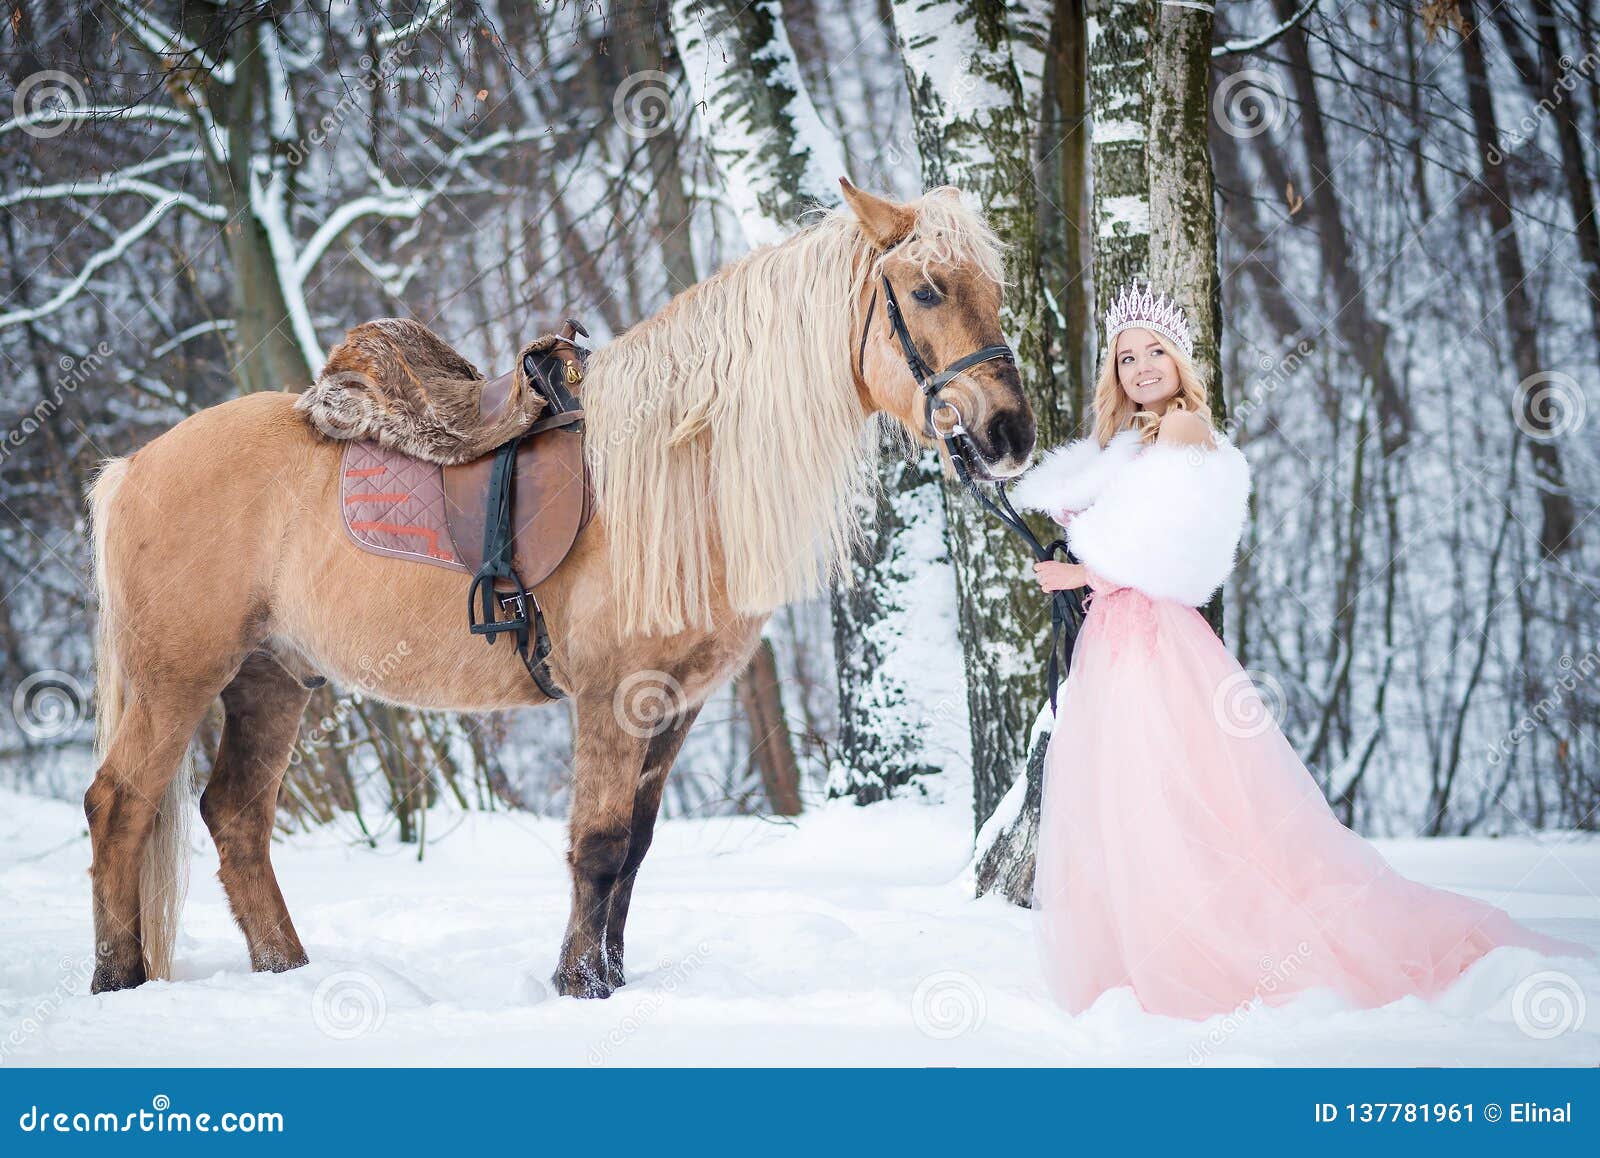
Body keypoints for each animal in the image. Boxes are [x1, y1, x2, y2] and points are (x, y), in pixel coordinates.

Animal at [82, 178, 1036, 999]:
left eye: (994, 288)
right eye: (926, 291)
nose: (1010, 435)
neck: (679, 467)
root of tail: (133, 466)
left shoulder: (675, 704)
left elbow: (636, 849)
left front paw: (608, 976)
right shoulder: (615, 696)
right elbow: (600, 844)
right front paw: (581, 986)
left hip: (272, 680)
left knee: (235, 817)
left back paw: (287, 969)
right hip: (176, 681)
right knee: (119, 804)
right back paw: (119, 976)